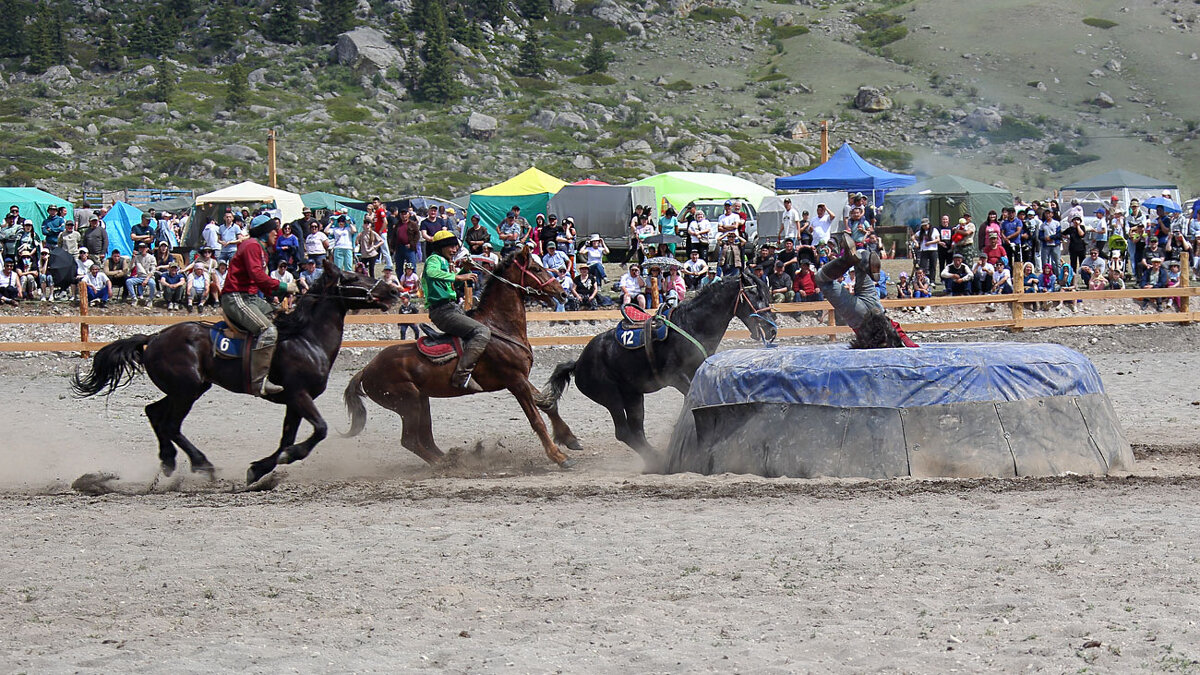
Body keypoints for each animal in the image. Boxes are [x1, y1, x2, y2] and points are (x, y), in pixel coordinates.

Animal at [70, 257, 398, 482]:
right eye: (354, 276)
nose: (393, 291)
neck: (306, 338)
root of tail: (154, 337)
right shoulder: (299, 394)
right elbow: (319, 430)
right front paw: (281, 459)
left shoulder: (293, 402)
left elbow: (286, 439)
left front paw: (260, 468)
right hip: (187, 391)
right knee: (170, 424)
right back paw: (202, 464)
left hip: (187, 389)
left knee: (154, 413)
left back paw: (168, 461)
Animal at [340, 248, 583, 468]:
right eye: (536, 268)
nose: (563, 293)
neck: (500, 327)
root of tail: (366, 370)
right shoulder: (515, 381)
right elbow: (536, 419)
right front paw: (558, 456)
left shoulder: (522, 378)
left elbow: (547, 404)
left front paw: (570, 439)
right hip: (408, 402)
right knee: (410, 441)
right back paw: (444, 464)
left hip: (420, 400)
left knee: (425, 438)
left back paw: (451, 460)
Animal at [535, 266, 777, 461]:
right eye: (755, 294)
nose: (772, 329)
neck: (692, 325)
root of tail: (578, 363)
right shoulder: (676, 377)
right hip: (610, 396)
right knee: (624, 431)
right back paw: (657, 459)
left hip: (633, 396)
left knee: (636, 431)